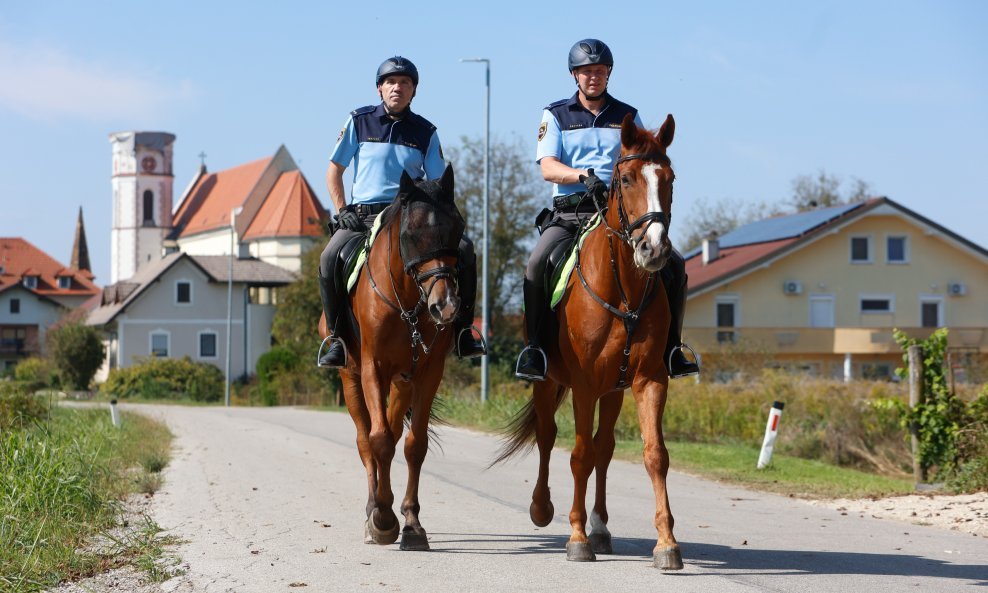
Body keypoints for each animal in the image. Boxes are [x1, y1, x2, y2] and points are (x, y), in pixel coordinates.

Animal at [320, 165, 466, 552]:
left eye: (458, 228)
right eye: (412, 233)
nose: (445, 307)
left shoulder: (428, 373)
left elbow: (414, 445)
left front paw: (412, 523)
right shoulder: (373, 369)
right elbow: (379, 440)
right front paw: (383, 518)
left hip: (402, 383)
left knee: (393, 429)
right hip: (352, 378)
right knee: (365, 438)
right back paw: (372, 509)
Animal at [498, 112, 684, 568]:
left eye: (669, 178)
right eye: (627, 178)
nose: (654, 249)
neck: (624, 291)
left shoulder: (649, 380)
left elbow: (654, 455)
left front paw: (666, 543)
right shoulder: (582, 385)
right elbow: (578, 455)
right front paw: (577, 537)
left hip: (613, 389)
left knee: (605, 447)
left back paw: (601, 528)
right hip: (550, 382)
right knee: (548, 436)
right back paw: (543, 509)